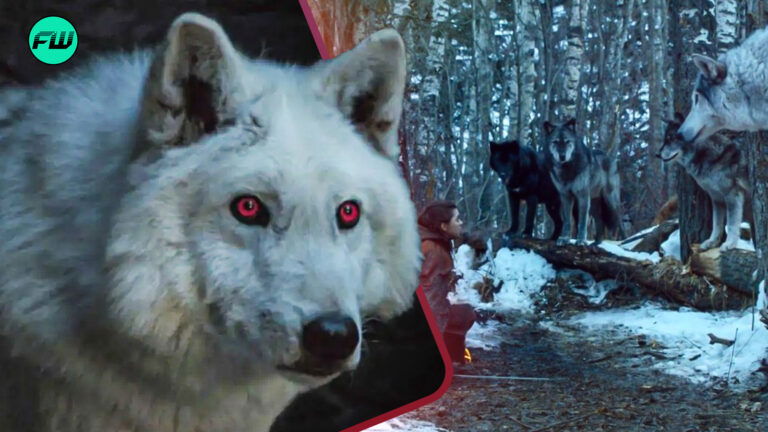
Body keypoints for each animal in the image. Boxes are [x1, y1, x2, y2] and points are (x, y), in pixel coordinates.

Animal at [658, 113, 754, 251]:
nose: (657, 154)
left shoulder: (732, 195)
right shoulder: (716, 198)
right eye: (665, 139)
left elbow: (731, 224)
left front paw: (729, 244)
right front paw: (711, 242)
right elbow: (717, 224)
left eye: (671, 138)